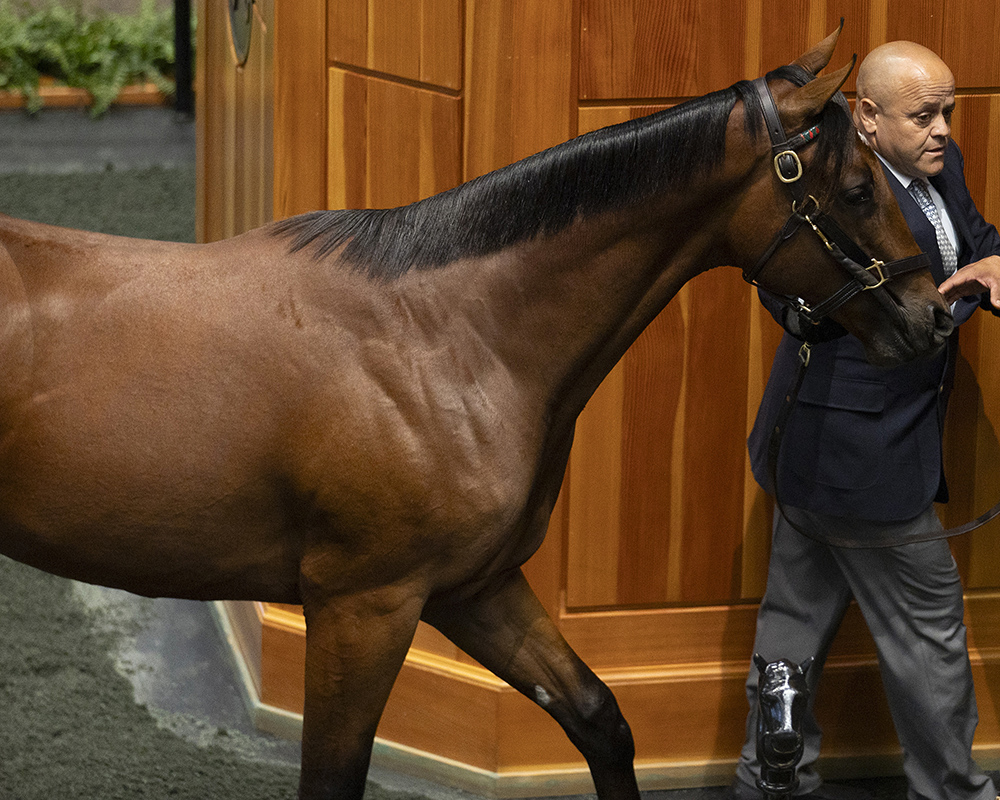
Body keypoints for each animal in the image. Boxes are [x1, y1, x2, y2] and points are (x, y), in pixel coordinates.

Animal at [0, 25, 952, 800]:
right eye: (860, 187)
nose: (932, 318)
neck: (451, 338)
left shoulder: (475, 589)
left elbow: (600, 719)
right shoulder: (363, 606)